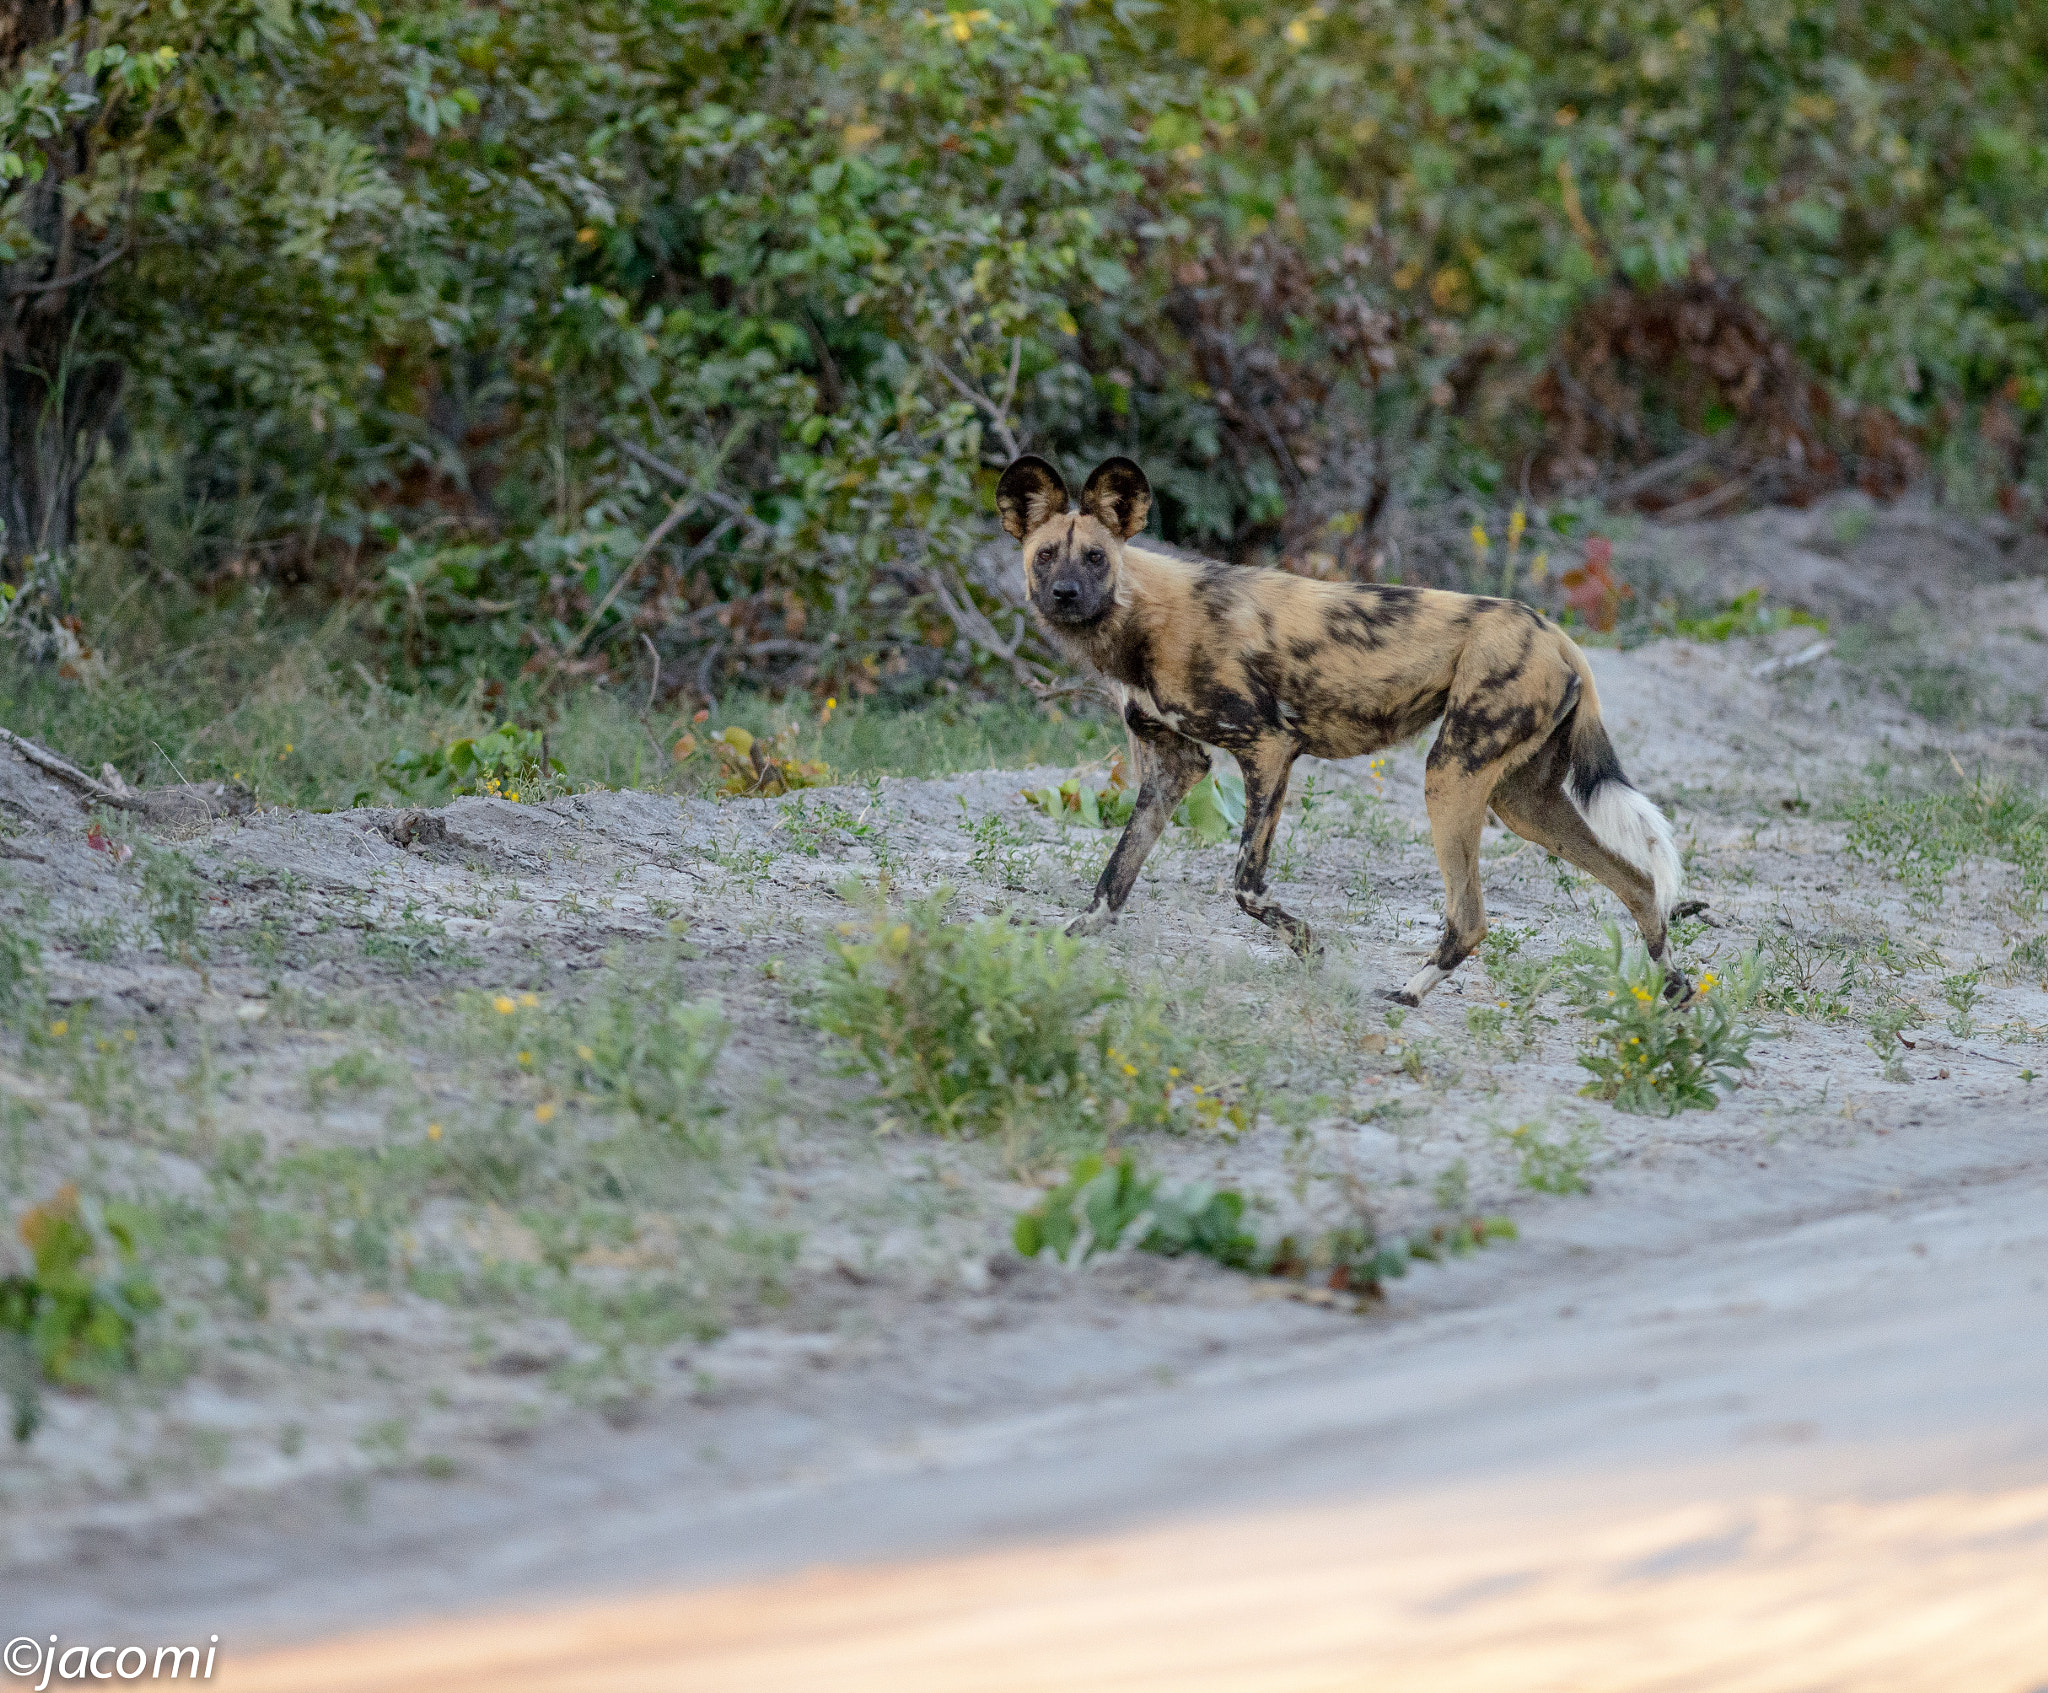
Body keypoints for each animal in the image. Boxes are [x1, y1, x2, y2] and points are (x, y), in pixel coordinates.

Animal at [987, 454, 1679, 1007]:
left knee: (1472, 918)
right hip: (1522, 803)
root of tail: (1556, 633)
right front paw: (1065, 940)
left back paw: (1407, 994)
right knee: (1641, 885)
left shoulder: (1269, 749)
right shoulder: (1172, 767)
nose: (1065, 594)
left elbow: (1244, 886)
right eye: (1045, 556)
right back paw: (1671, 995)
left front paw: (1310, 948)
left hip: (1450, 775)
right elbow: (1113, 880)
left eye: (1095, 558)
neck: (1138, 621)